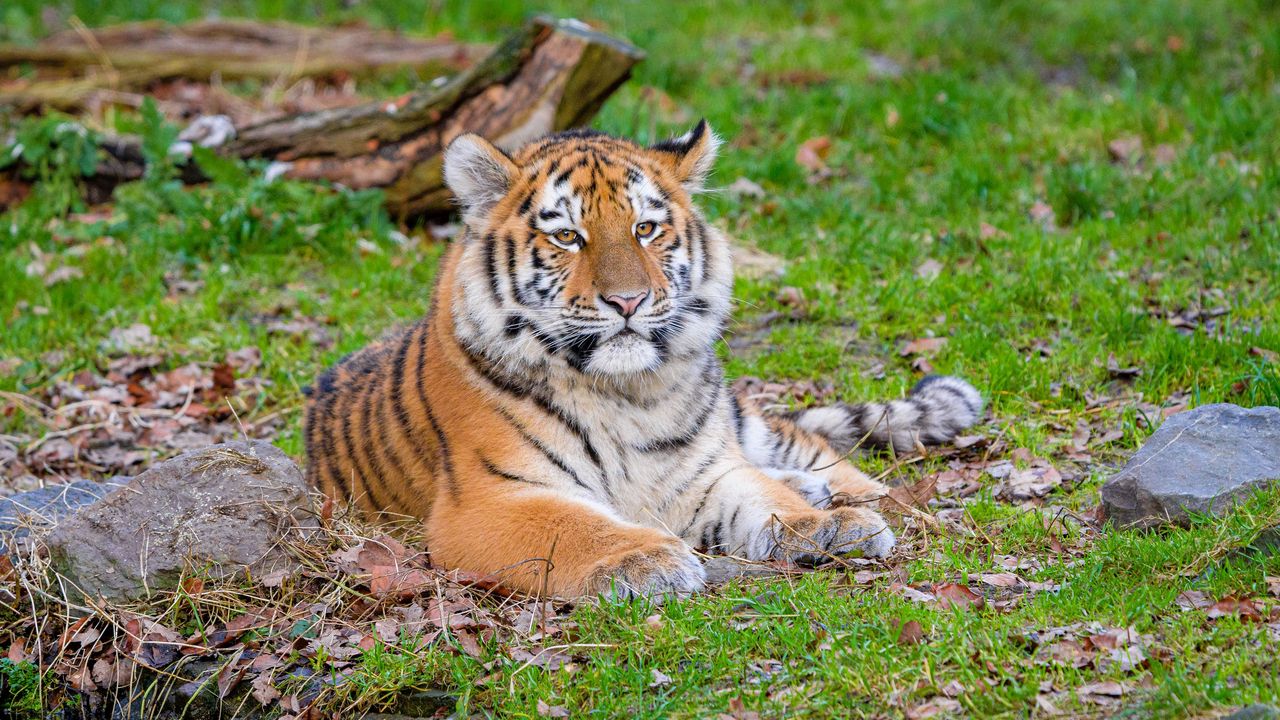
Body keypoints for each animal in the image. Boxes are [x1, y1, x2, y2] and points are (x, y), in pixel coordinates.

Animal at [304, 120, 983, 597]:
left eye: (646, 229)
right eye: (567, 236)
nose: (627, 300)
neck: (624, 392)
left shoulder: (703, 470)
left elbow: (763, 495)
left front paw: (824, 525)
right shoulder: (486, 500)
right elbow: (572, 526)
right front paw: (644, 557)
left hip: (748, 425)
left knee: (820, 456)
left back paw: (864, 503)